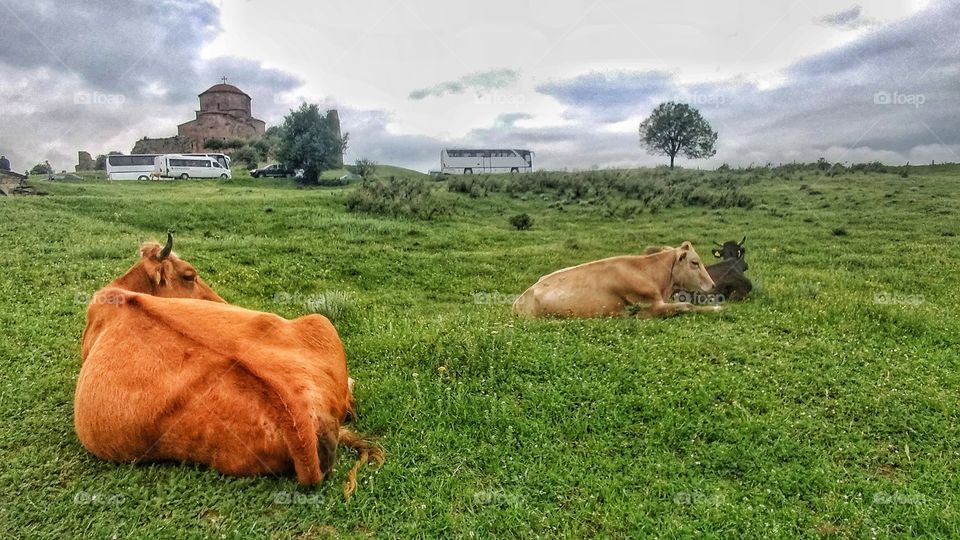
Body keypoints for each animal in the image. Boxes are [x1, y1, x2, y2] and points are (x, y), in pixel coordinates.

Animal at [75, 233, 383, 498]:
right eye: (189, 275)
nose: (220, 302)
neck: (119, 293)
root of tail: (296, 412)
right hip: (320, 322)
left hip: (320, 320)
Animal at [512, 241, 721, 318]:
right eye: (695, 262)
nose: (713, 284)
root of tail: (519, 300)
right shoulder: (651, 308)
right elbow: (687, 306)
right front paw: (718, 308)